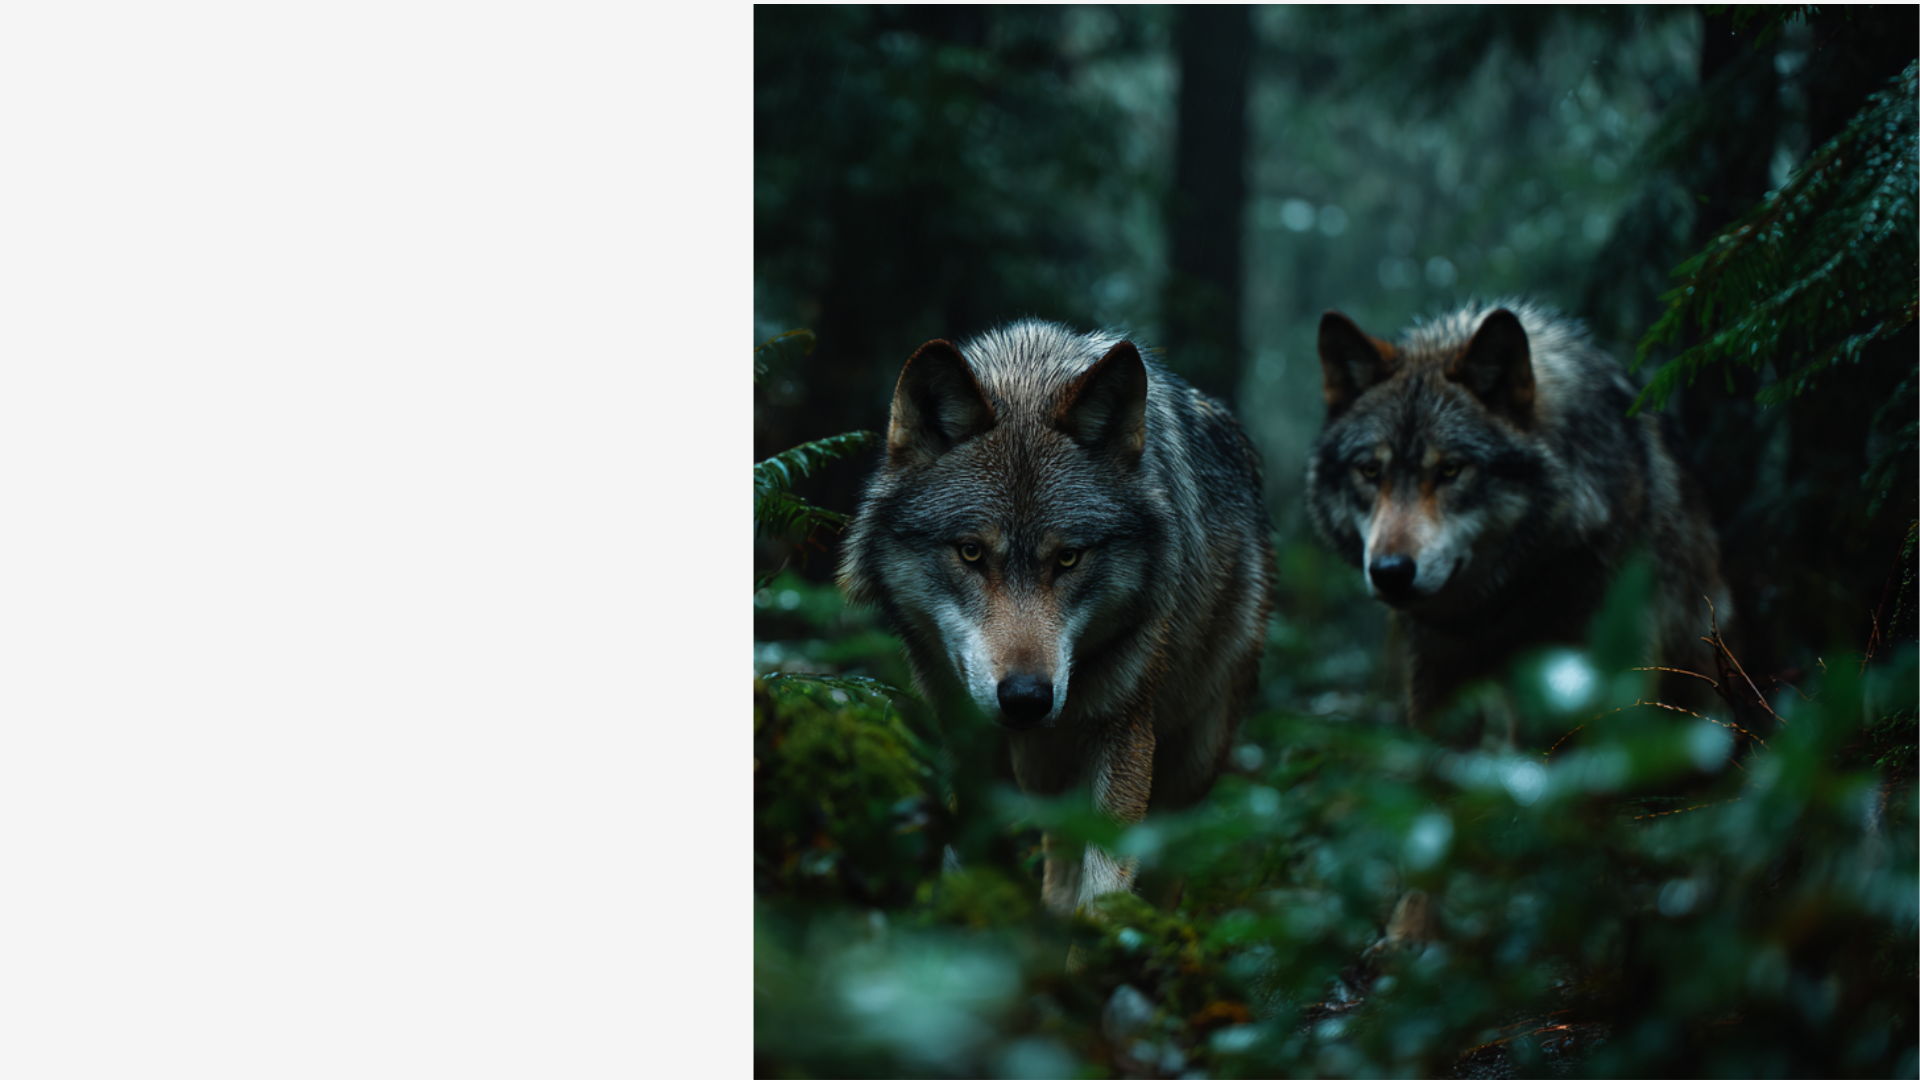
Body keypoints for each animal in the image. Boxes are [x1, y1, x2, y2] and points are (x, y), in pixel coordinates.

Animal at [839, 320, 1274, 914]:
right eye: (971, 553)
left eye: (1068, 558)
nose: (1027, 698)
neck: (1030, 374)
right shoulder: (965, 732)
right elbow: (967, 858)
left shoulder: (1124, 730)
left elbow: (1107, 889)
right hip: (1044, 771)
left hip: (1193, 759)